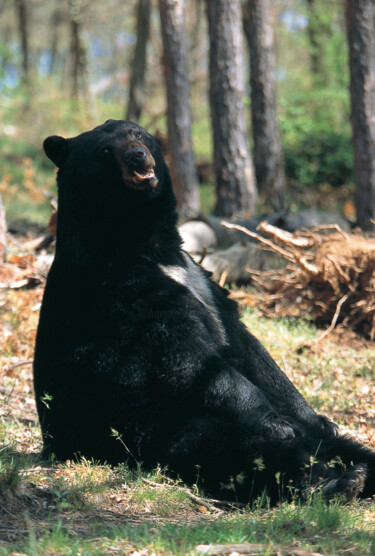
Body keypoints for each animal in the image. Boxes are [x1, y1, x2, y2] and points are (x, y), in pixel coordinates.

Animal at [33, 121, 375, 504]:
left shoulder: (201, 278)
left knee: (343, 447)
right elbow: (186, 356)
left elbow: (248, 346)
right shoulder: (119, 288)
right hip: (140, 425)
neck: (150, 245)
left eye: (137, 134)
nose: (137, 157)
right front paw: (278, 422)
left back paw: (355, 467)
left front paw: (315, 417)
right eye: (105, 150)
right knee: (237, 451)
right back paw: (331, 482)